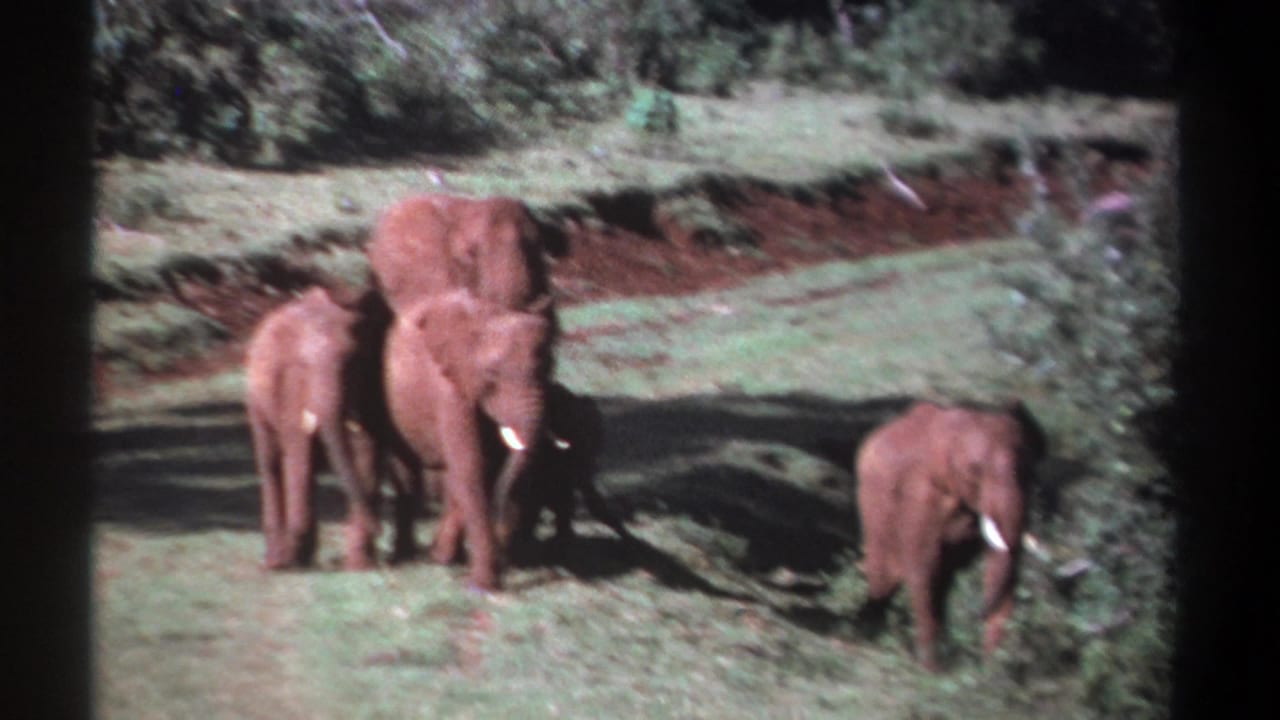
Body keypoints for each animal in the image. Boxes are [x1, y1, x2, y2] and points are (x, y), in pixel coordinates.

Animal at [244, 285, 405, 571]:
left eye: (352, 362)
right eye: (304, 365)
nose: (379, 529)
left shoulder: (373, 380)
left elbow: (365, 452)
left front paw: (360, 566)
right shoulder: (290, 386)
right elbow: (300, 456)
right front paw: (295, 557)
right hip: (256, 404)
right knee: (271, 462)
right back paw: (276, 562)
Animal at [382, 289, 557, 591]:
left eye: (548, 367)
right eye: (492, 375)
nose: (506, 561)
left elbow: (475, 472)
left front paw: (451, 562)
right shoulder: (451, 390)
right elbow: (472, 468)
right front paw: (481, 586)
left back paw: (440, 556)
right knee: (407, 473)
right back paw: (405, 557)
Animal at [853, 400, 1046, 671]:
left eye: (1027, 470)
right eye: (975, 471)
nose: (978, 613)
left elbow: (1003, 569)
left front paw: (993, 673)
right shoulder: (920, 495)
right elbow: (923, 569)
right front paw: (932, 671)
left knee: (941, 580)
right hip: (872, 504)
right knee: (886, 577)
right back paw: (866, 635)